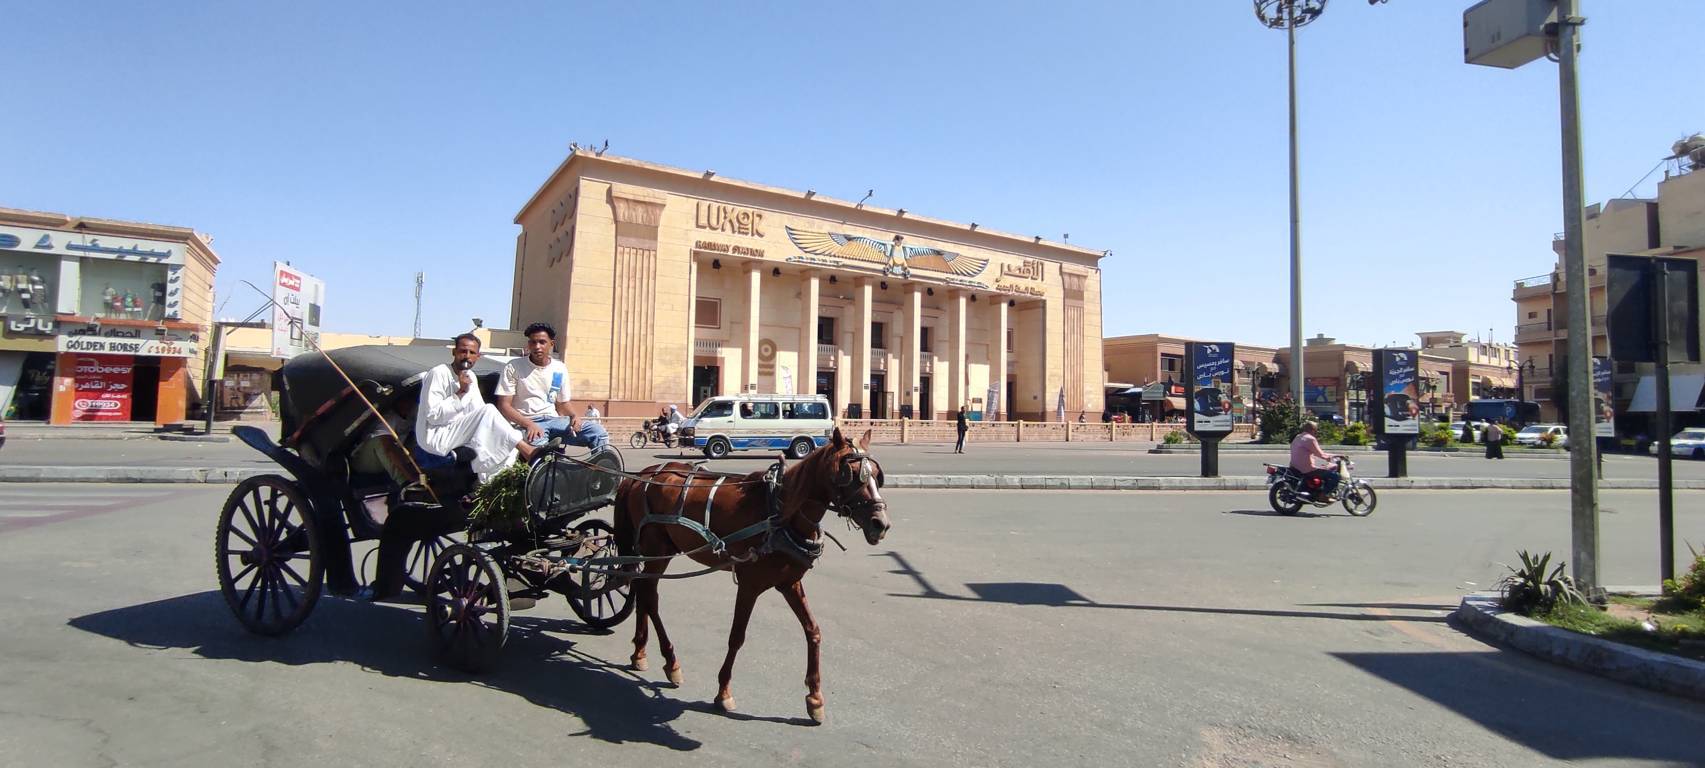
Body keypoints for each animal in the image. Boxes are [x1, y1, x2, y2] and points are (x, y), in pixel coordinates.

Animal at [613, 428, 893, 723]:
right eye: (850, 474)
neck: (780, 513)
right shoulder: (749, 584)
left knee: (642, 591)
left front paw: (815, 697)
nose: (881, 524)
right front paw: (723, 691)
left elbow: (813, 630)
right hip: (656, 548)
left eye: (876, 474)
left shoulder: (789, 582)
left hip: (652, 552)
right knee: (650, 597)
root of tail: (642, 474)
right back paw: (671, 661)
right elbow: (737, 636)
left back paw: (640, 652)